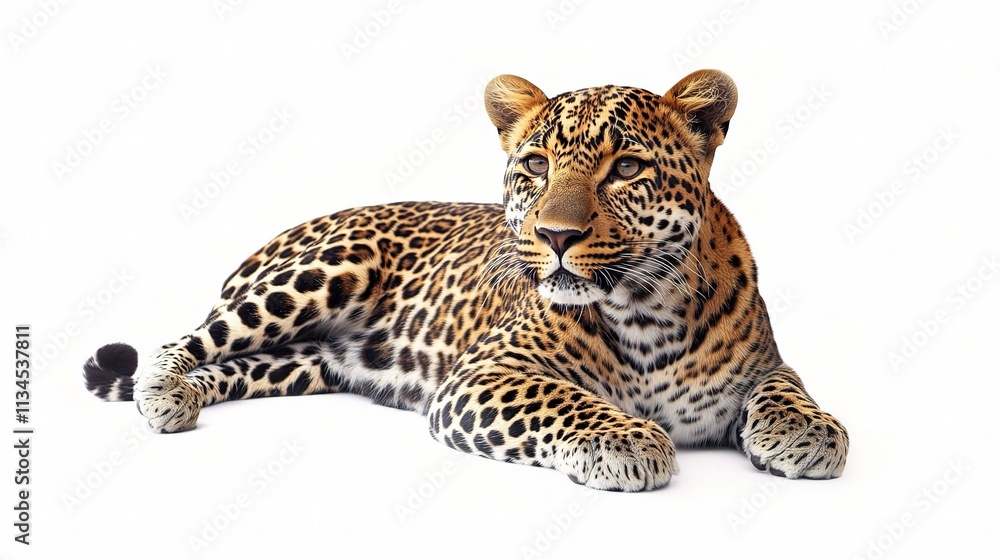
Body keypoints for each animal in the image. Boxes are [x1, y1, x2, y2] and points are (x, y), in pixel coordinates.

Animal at [83, 69, 848, 491]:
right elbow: (568, 401)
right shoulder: (485, 374)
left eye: (627, 169)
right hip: (317, 275)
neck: (647, 308)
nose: (556, 236)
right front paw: (628, 441)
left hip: (304, 363)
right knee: (187, 340)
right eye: (536, 164)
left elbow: (787, 388)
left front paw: (810, 435)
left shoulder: (763, 363)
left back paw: (186, 397)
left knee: (235, 365)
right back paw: (162, 394)